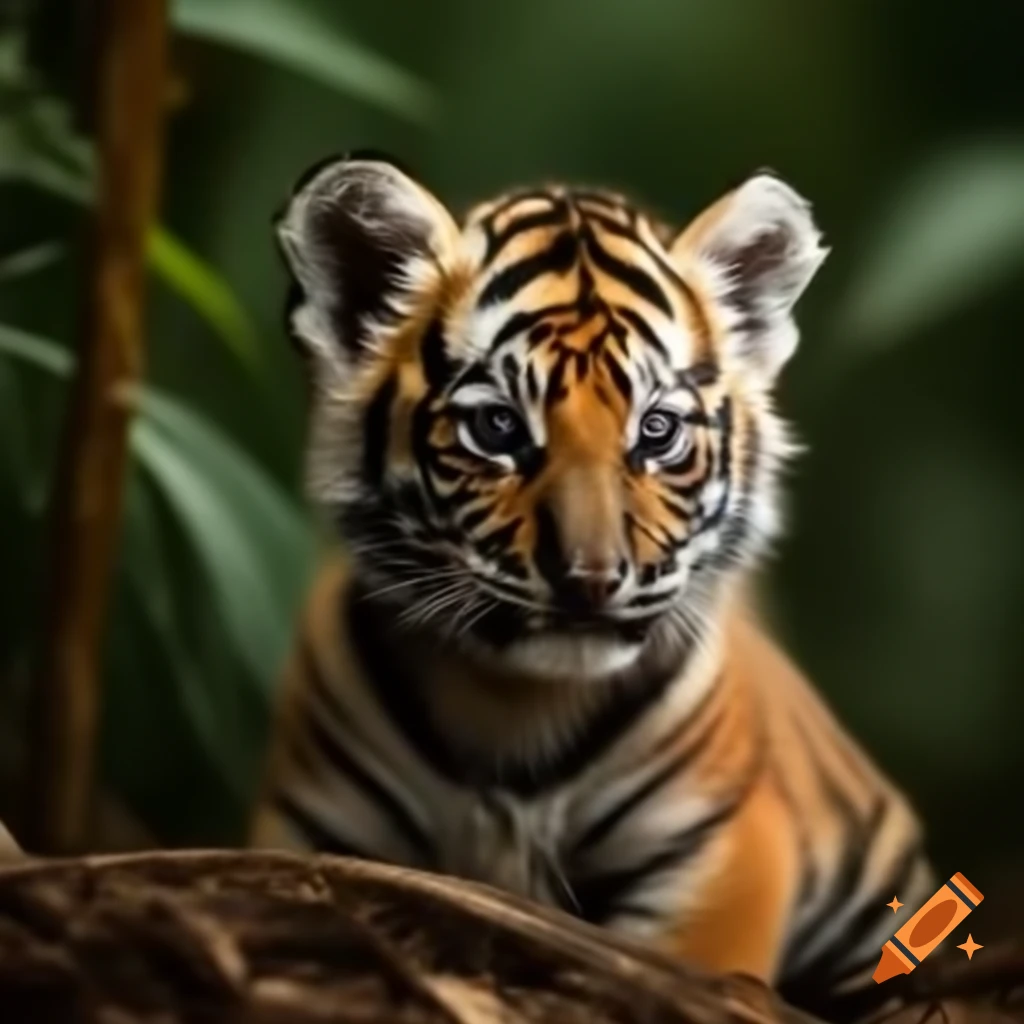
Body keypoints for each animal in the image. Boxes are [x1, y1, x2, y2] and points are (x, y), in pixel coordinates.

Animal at [251, 152, 934, 1018]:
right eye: (499, 428)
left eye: (657, 431)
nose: (592, 577)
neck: (514, 706)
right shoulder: (312, 828)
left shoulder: (715, 853)